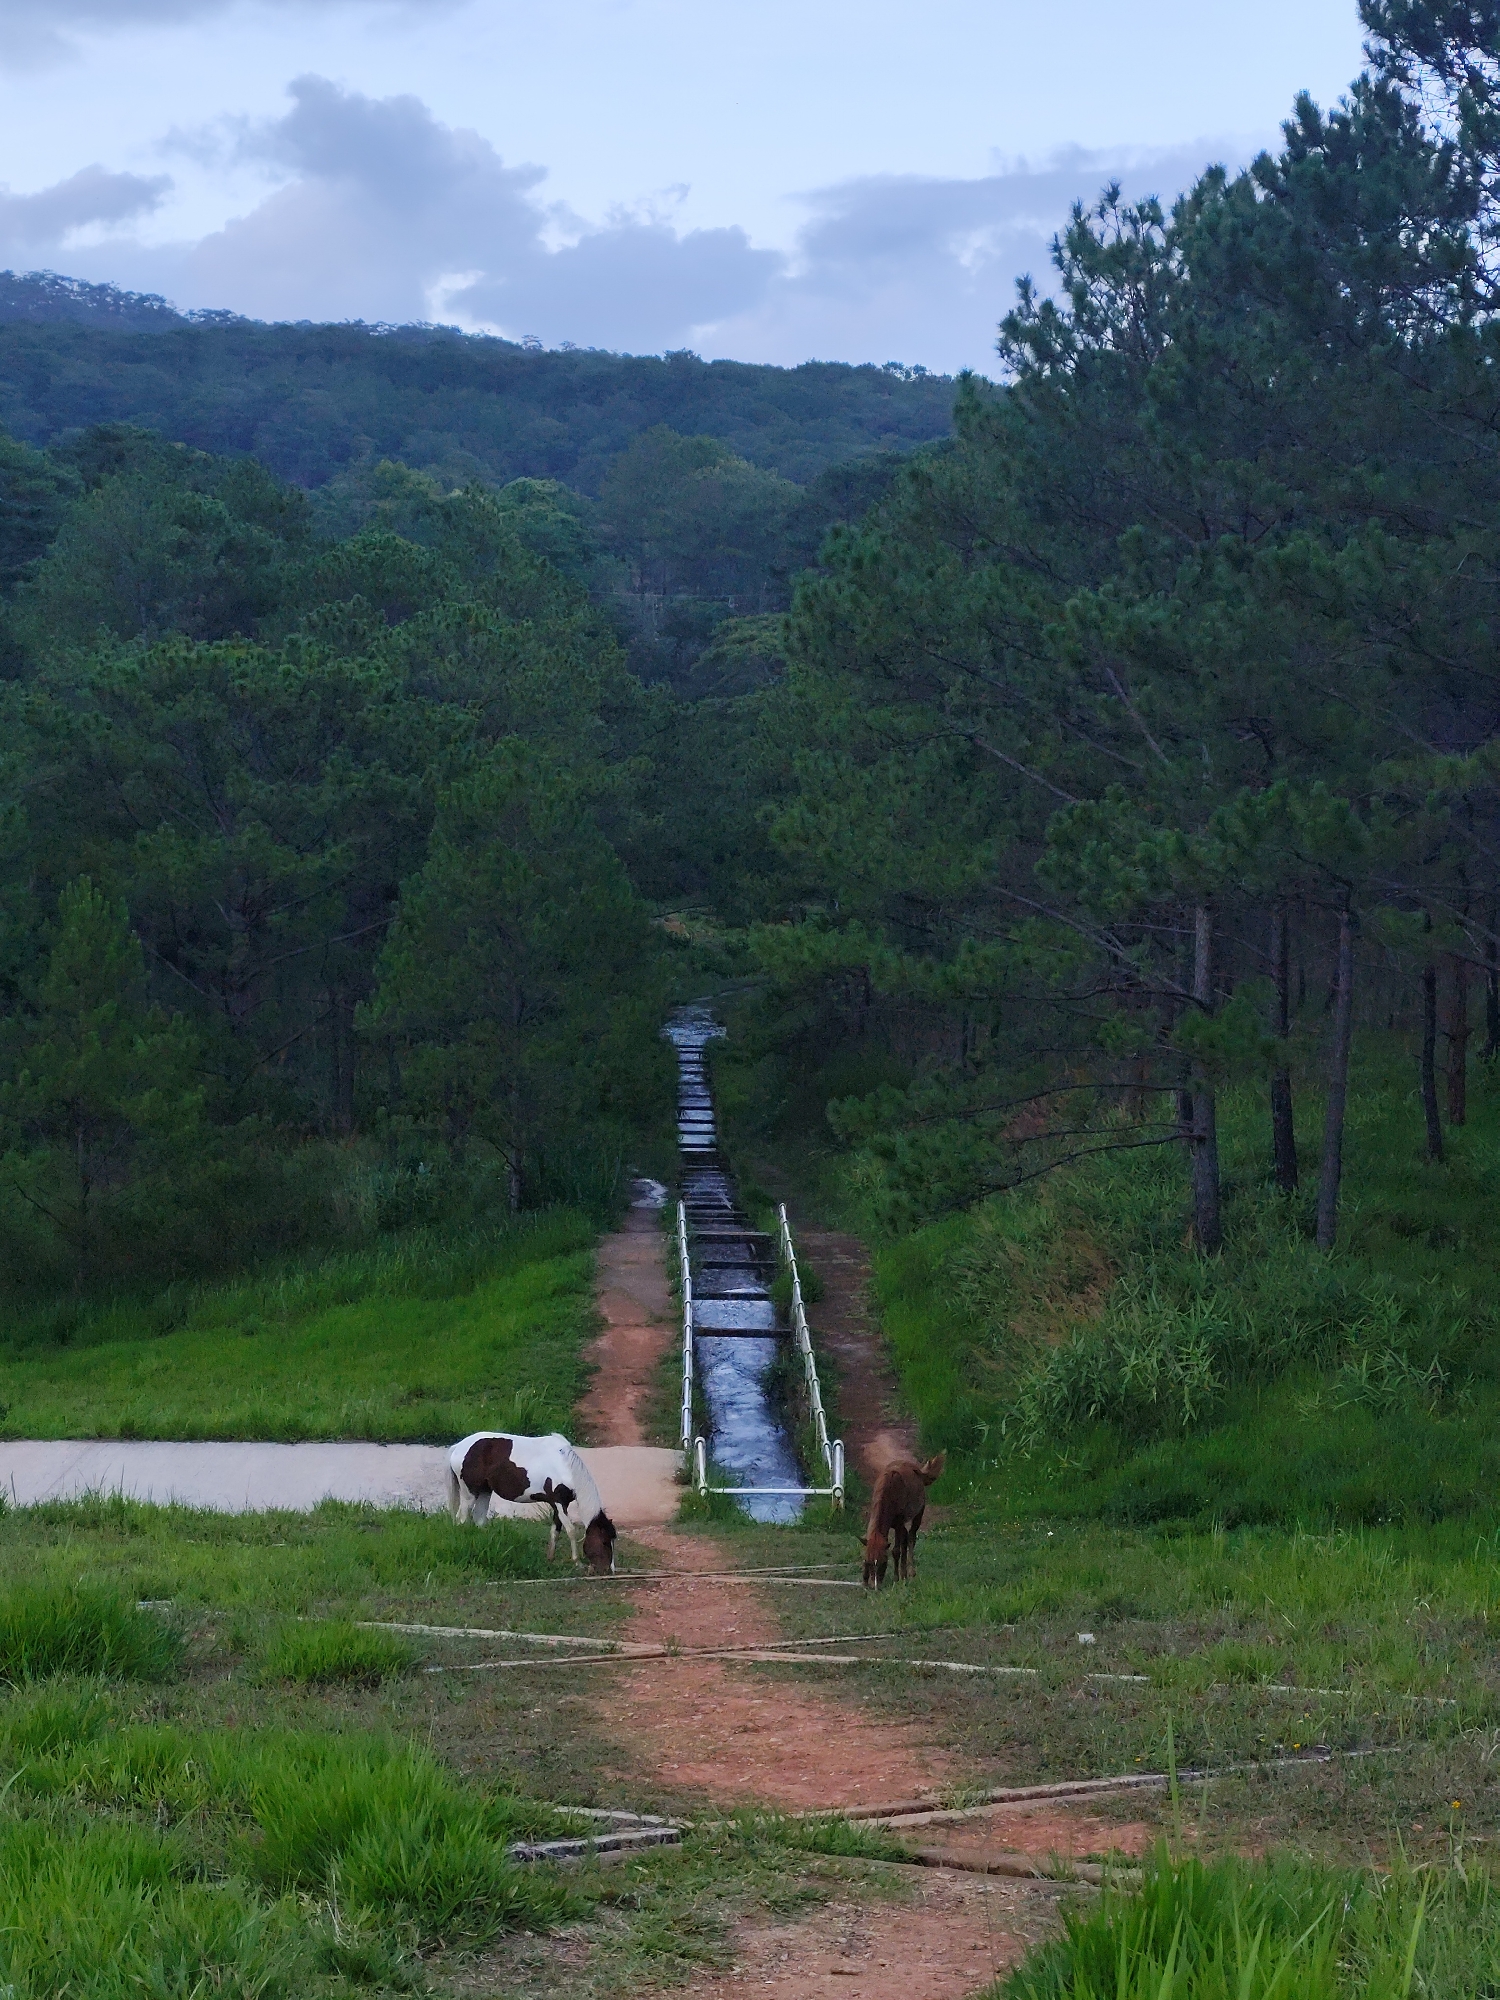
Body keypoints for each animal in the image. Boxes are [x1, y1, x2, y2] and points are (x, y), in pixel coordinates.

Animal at [447, 1430, 617, 1573]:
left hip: (485, 1491)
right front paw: (577, 1562)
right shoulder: (560, 1503)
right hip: (470, 1494)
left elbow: (555, 1531)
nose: (609, 1569)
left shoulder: (558, 1505)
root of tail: (458, 1447)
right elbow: (571, 1530)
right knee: (462, 1520)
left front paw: (550, 1558)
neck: (565, 1467)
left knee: (480, 1520)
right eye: (604, 1542)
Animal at [862, 1450, 945, 1587]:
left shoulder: (899, 1523)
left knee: (911, 1537)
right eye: (868, 1562)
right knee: (905, 1538)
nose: (875, 1586)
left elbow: (896, 1551)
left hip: (918, 1514)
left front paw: (896, 1578)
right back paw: (904, 1574)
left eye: (883, 1563)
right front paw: (864, 1581)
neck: (890, 1491)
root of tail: (918, 1471)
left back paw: (910, 1573)